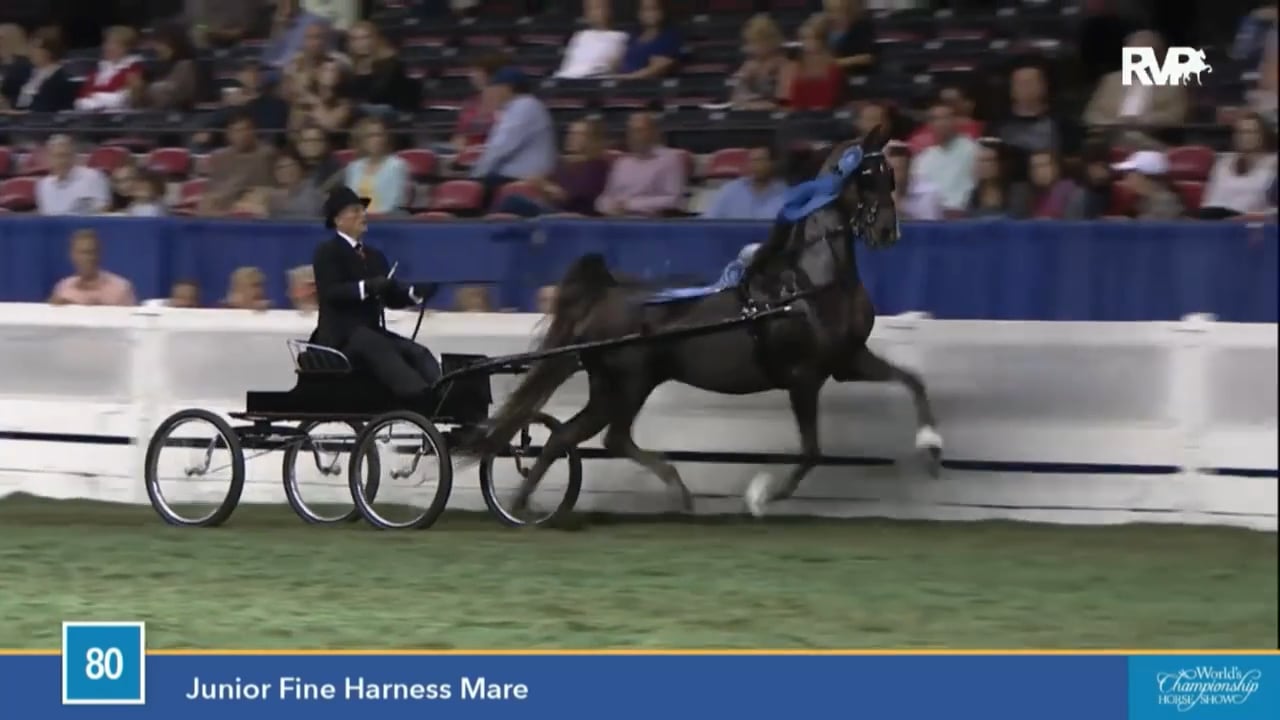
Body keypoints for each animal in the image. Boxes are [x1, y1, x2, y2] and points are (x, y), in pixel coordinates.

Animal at [482, 126, 942, 520]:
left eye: (890, 175)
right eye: (864, 175)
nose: (887, 232)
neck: (808, 286)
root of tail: (607, 295)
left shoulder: (846, 361)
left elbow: (913, 381)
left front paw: (932, 448)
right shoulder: (803, 377)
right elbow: (812, 452)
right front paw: (760, 497)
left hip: (621, 386)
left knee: (585, 437)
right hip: (627, 384)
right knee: (596, 437)